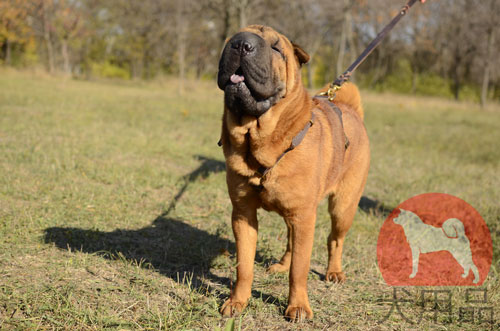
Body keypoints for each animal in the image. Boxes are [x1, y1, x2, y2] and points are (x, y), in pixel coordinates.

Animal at [217, 25, 370, 322]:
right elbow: (244, 265)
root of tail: (352, 111)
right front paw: (237, 302)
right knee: (291, 243)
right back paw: (279, 265)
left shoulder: (304, 215)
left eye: (276, 48)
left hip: (342, 207)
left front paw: (298, 307)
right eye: (232, 39)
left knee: (335, 239)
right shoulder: (243, 213)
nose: (241, 44)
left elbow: (300, 269)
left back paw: (334, 272)